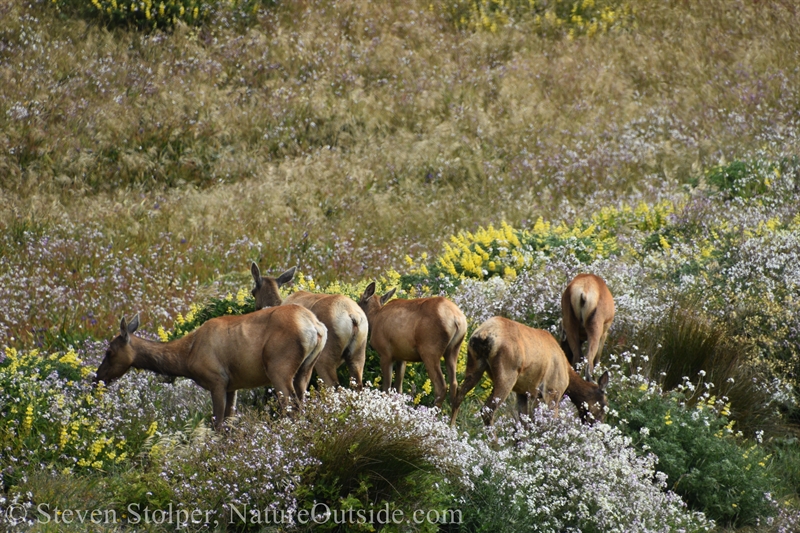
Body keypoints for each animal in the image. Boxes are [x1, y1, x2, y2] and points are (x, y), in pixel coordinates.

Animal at [95, 308, 326, 428]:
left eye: (109, 351)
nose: (97, 377)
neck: (187, 357)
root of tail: (316, 327)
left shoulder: (217, 380)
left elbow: (217, 424)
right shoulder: (233, 385)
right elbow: (229, 422)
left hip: (279, 369)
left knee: (291, 407)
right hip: (305, 370)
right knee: (302, 403)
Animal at [446, 318, 608, 426]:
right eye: (603, 406)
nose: (595, 427)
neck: (567, 375)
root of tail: (483, 335)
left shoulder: (523, 392)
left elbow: (524, 422)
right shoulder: (551, 392)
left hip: (474, 365)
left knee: (458, 395)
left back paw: (451, 429)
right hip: (507, 375)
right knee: (487, 409)